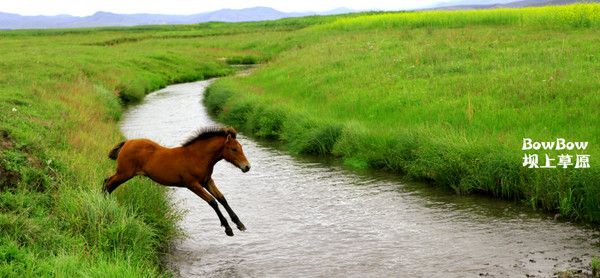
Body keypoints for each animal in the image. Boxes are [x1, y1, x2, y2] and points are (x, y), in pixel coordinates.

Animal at [104, 126, 250, 237]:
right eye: (234, 149)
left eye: (241, 148)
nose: (247, 167)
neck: (197, 157)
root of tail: (126, 143)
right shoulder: (193, 185)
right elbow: (212, 202)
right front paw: (228, 228)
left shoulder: (207, 181)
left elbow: (222, 198)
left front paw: (240, 224)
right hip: (124, 173)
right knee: (107, 184)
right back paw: (107, 206)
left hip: (124, 174)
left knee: (107, 184)